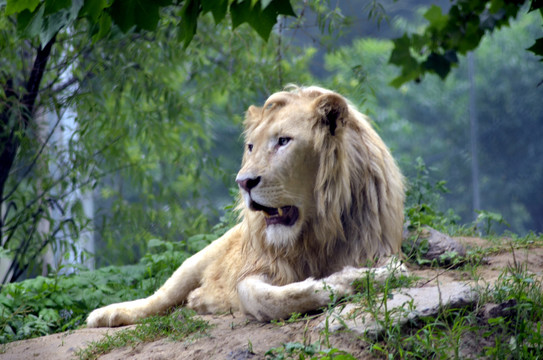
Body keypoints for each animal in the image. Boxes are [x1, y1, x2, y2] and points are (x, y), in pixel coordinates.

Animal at [87, 85, 406, 326]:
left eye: (283, 141)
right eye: (251, 146)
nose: (243, 182)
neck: (317, 231)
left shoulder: (379, 249)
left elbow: (391, 271)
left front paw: (358, 277)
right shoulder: (259, 263)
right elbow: (258, 295)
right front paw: (333, 284)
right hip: (198, 258)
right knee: (159, 298)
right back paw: (105, 314)